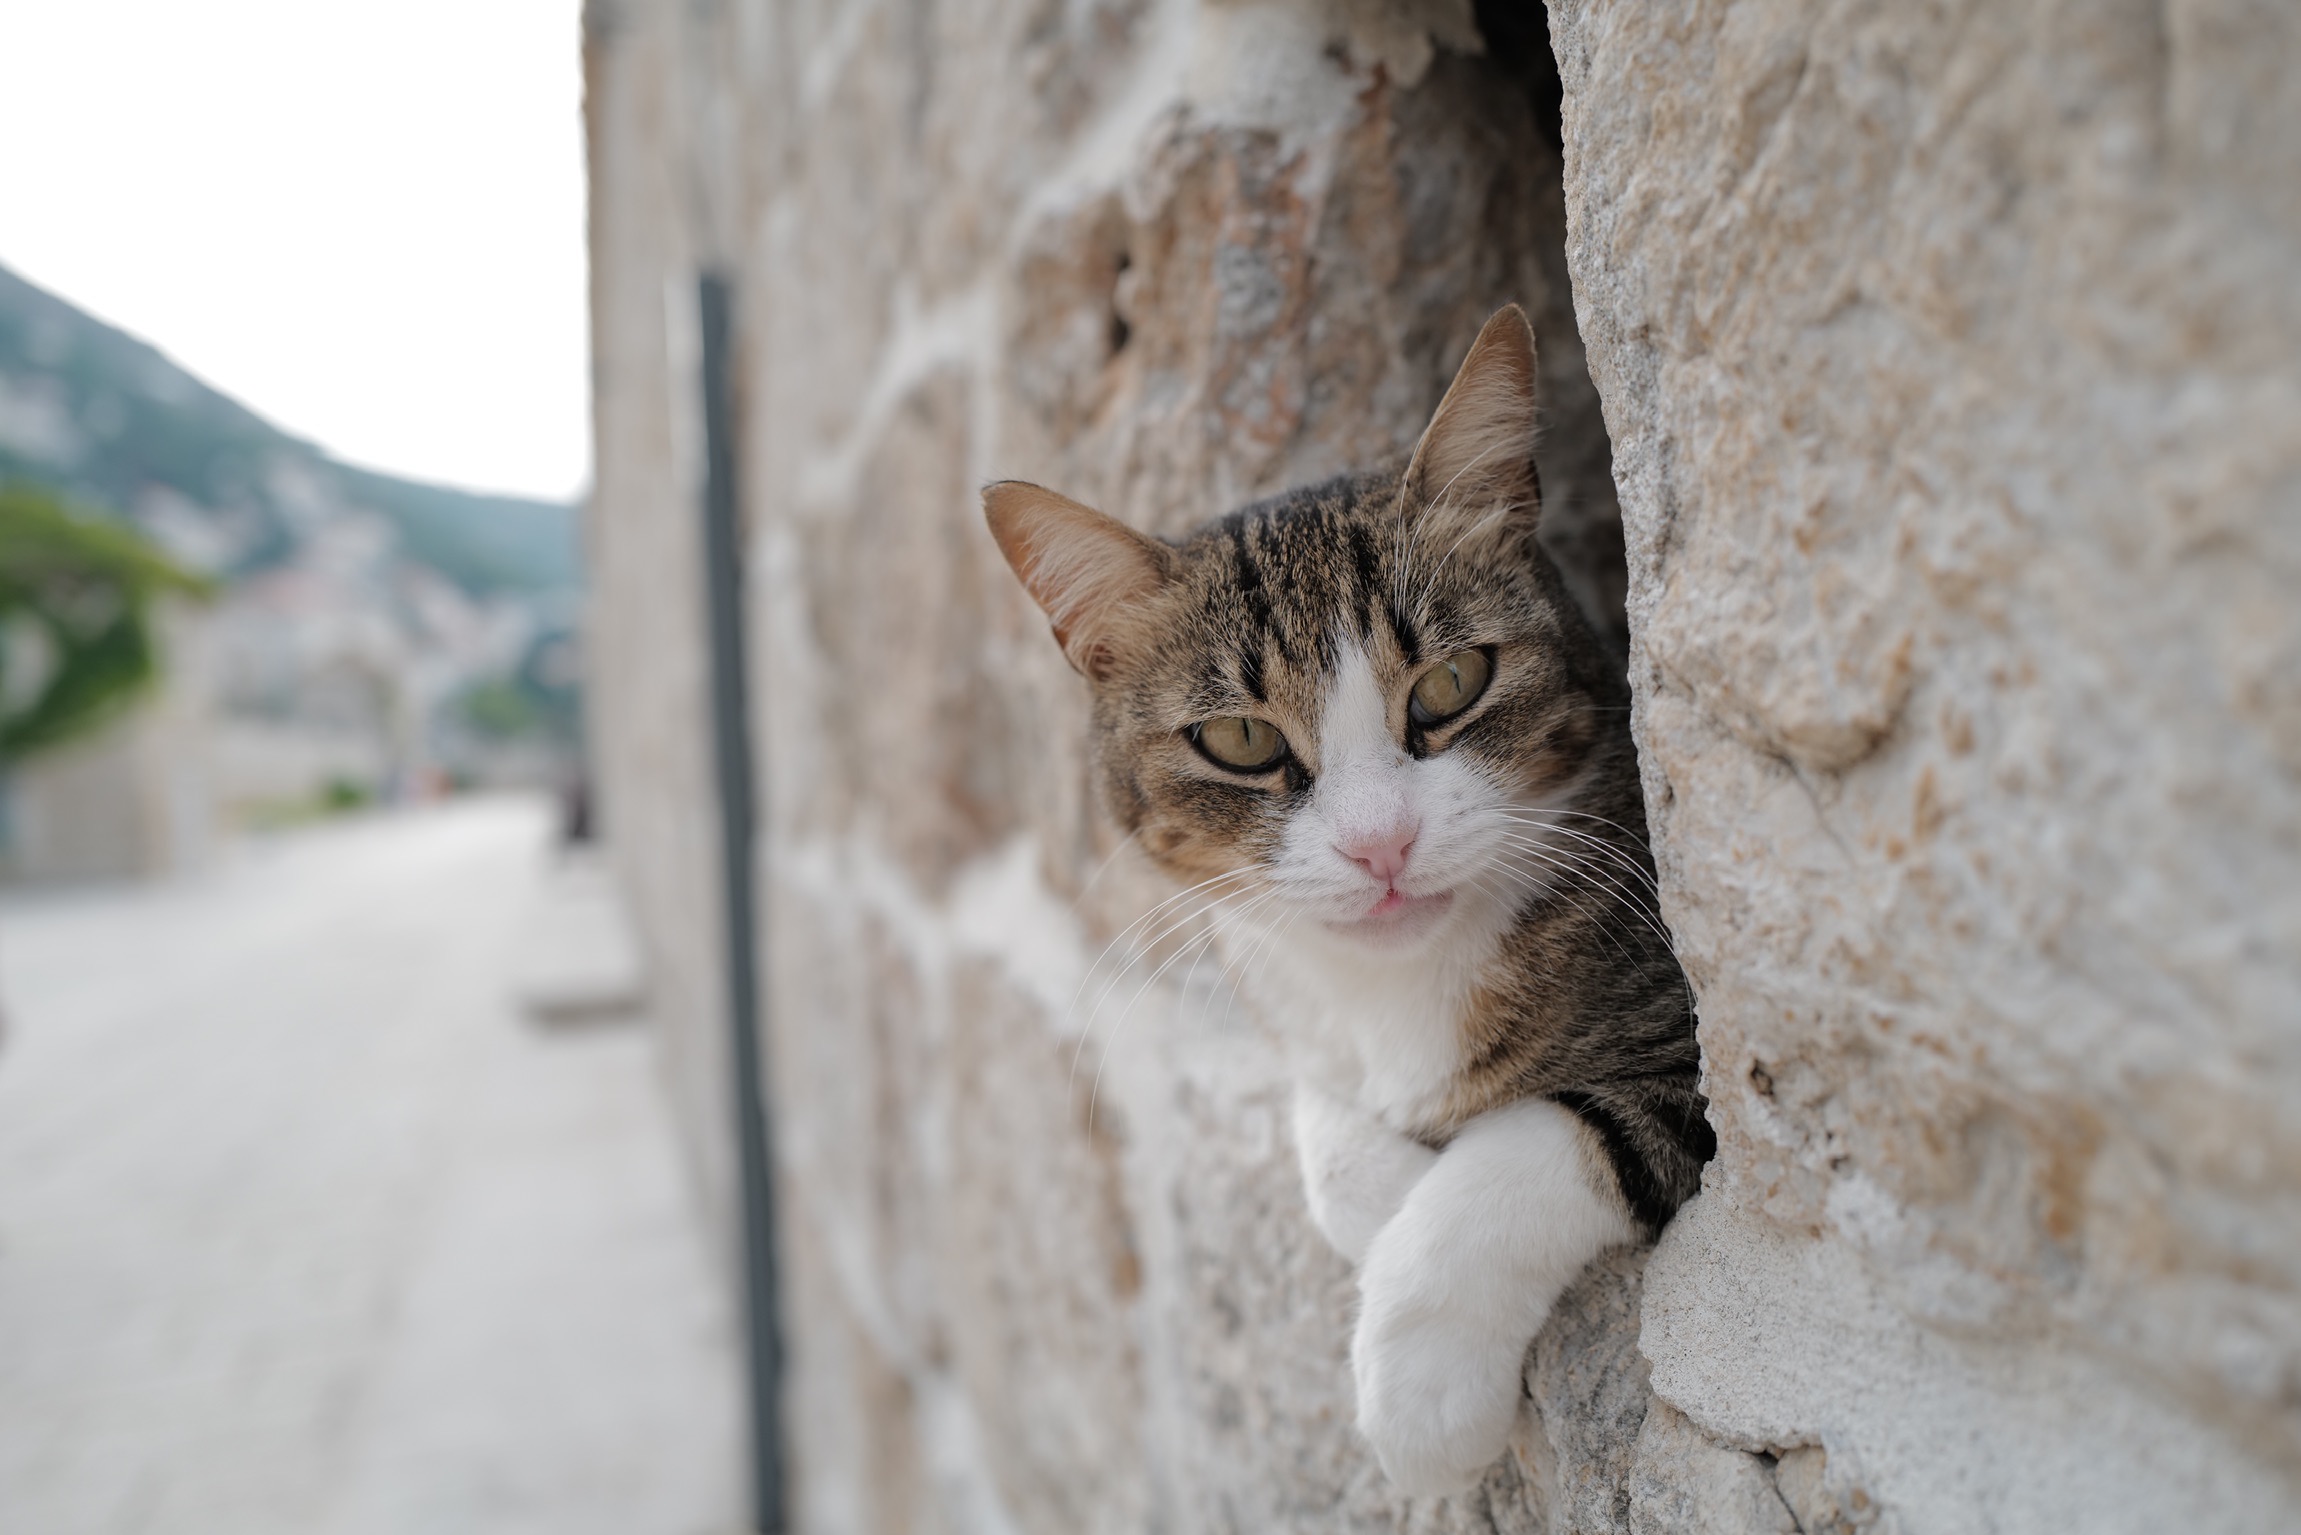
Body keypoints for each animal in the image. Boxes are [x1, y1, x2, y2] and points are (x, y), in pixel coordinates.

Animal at [983, 305, 1711, 1495]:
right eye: (1241, 739)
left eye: (1453, 683)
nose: (1381, 843)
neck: (1399, 985)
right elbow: (1324, 1111)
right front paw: (1381, 1192)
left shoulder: (1687, 1027)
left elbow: (1541, 1135)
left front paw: (1418, 1385)